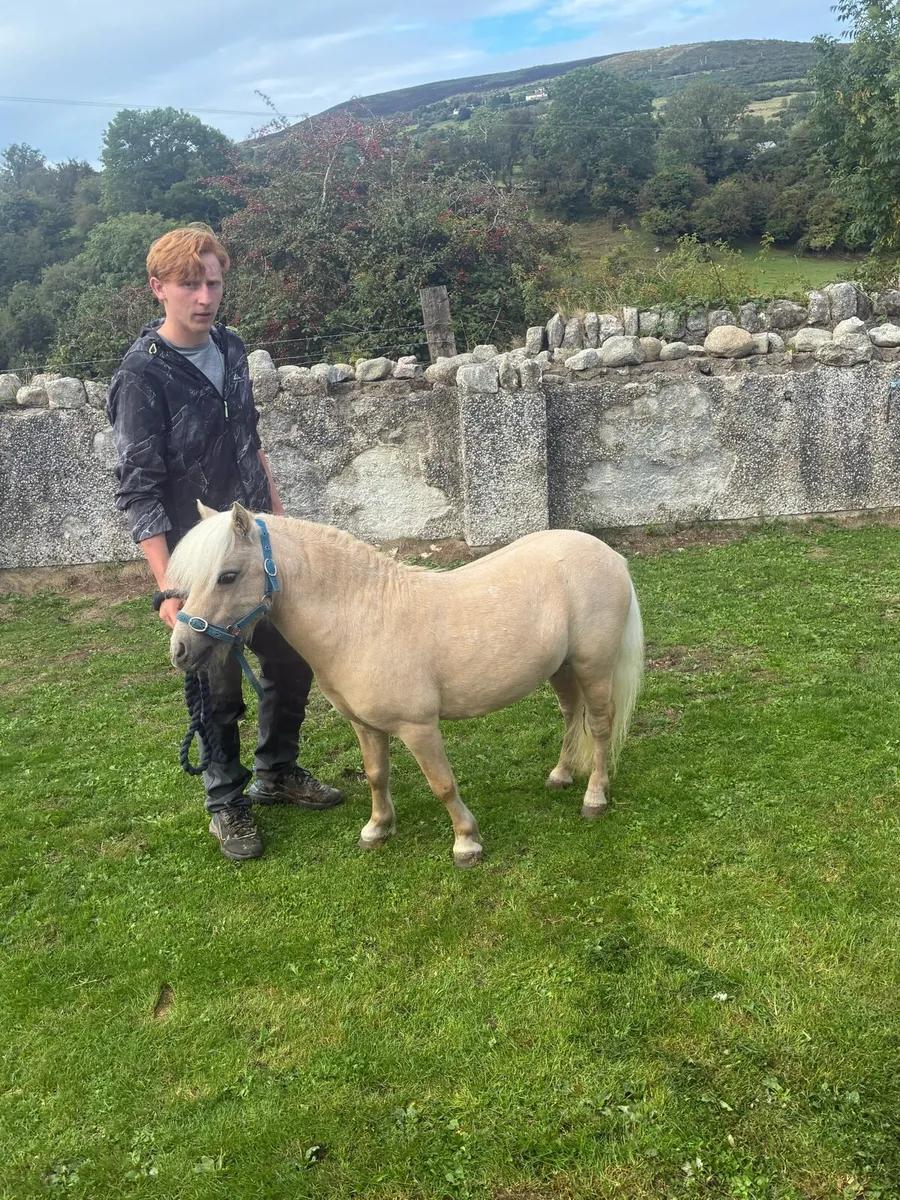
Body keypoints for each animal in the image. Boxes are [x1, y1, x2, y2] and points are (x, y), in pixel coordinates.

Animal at [167, 503, 645, 867]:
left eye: (227, 575)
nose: (181, 648)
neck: (362, 618)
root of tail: (608, 555)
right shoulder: (365, 725)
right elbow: (377, 775)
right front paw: (377, 829)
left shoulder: (419, 728)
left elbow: (442, 784)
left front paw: (466, 842)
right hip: (560, 667)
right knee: (571, 714)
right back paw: (561, 775)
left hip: (594, 666)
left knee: (600, 725)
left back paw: (594, 797)